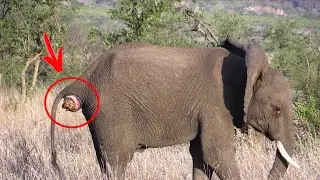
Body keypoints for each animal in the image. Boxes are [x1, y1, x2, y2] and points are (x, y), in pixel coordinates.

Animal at [50, 40, 300, 179]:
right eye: (277, 109)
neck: (248, 70)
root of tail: (82, 80)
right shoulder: (216, 106)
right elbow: (217, 154)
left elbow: (202, 157)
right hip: (111, 110)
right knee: (117, 163)